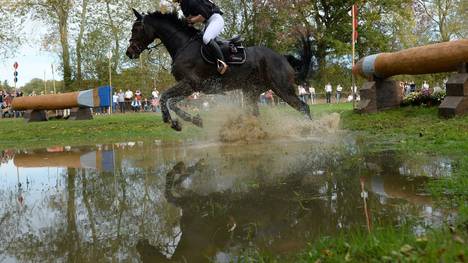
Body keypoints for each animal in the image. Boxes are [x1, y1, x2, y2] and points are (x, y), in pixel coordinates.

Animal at [126, 9, 312, 131]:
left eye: (136, 29)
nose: (129, 52)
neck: (183, 45)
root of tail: (282, 58)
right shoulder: (189, 87)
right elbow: (168, 100)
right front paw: (176, 121)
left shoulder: (191, 84)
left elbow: (167, 99)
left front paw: (182, 121)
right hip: (251, 91)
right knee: (254, 113)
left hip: (281, 88)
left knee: (304, 107)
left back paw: (311, 131)